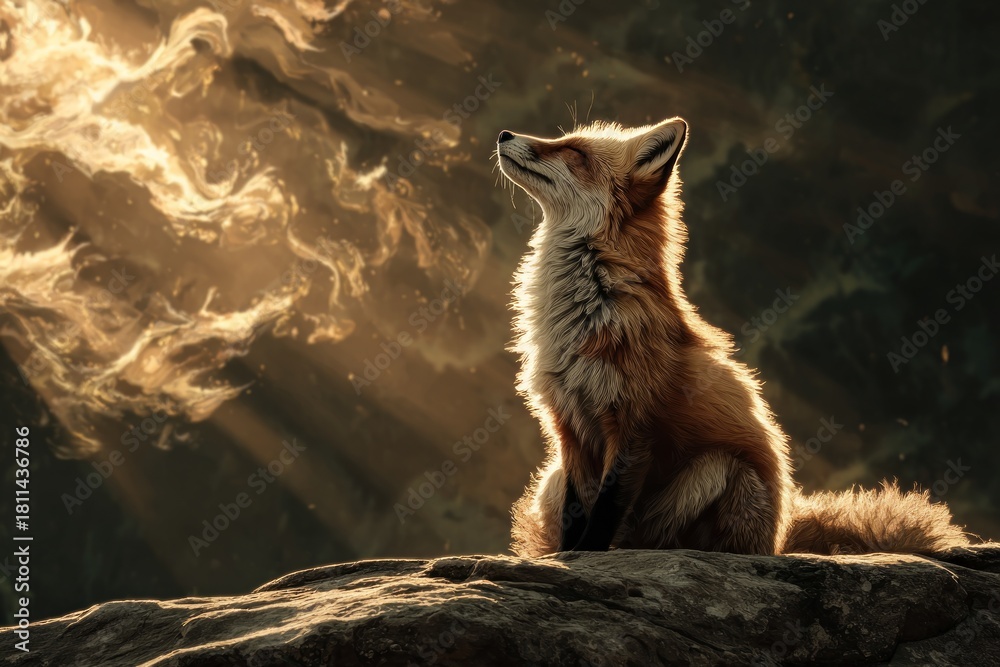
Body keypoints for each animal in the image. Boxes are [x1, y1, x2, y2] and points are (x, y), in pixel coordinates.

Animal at [495, 118, 971, 557]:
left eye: (573, 152)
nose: (504, 135)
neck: (586, 312)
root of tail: (779, 540)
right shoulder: (568, 427)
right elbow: (577, 512)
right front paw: (563, 556)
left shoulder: (633, 427)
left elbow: (604, 513)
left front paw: (587, 556)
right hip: (553, 476)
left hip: (719, 468)